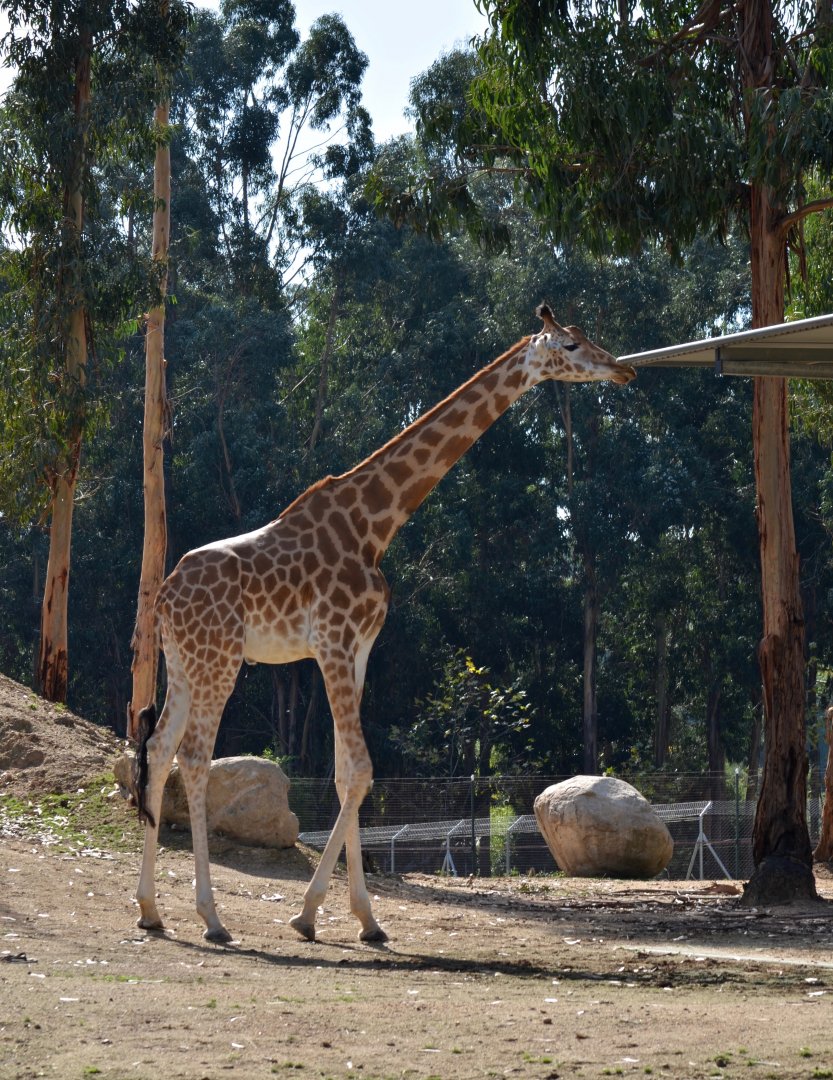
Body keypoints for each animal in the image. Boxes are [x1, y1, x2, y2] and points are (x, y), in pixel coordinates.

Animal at [130, 304, 636, 944]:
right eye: (570, 344)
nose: (623, 370)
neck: (376, 523)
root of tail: (164, 596)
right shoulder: (332, 641)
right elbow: (363, 771)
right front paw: (310, 914)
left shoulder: (360, 647)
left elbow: (346, 774)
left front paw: (363, 919)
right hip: (220, 657)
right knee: (194, 757)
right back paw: (212, 918)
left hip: (182, 660)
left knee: (160, 748)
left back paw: (150, 909)